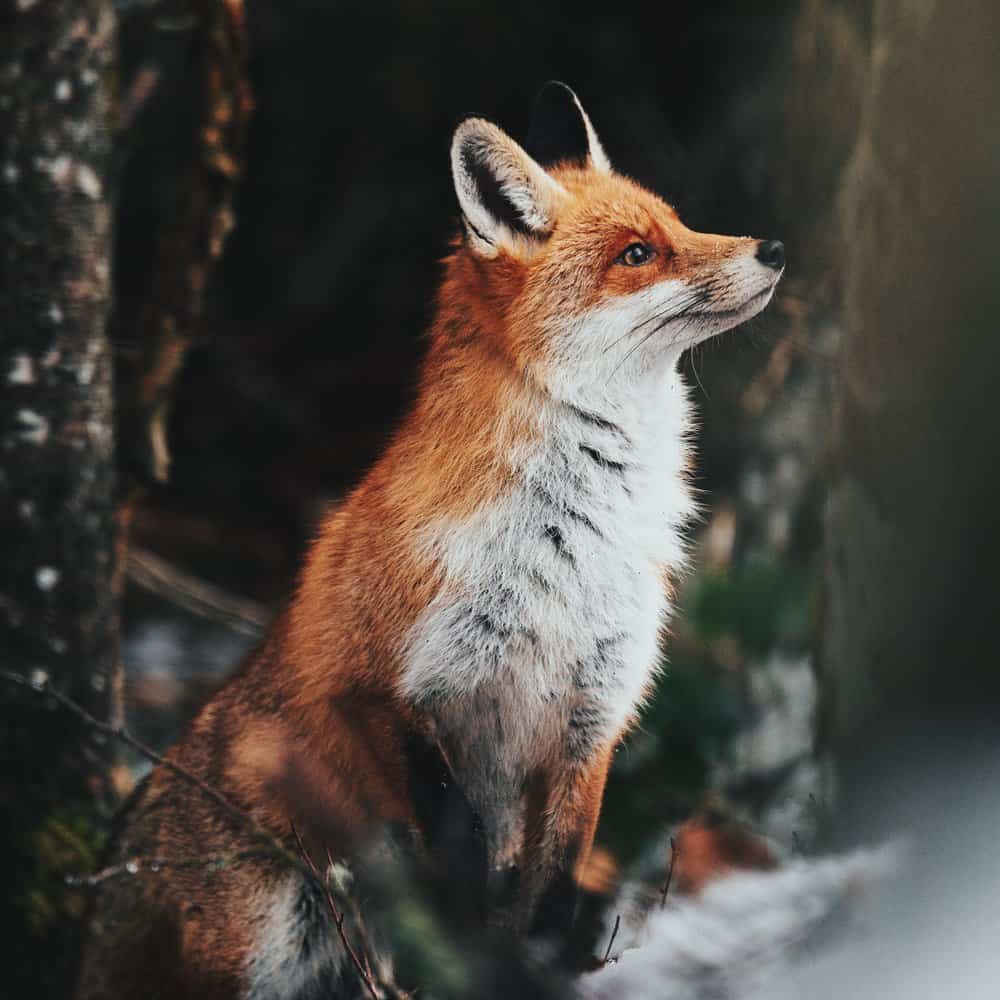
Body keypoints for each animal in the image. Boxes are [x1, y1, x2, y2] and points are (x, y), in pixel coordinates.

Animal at [77, 82, 784, 999]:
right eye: (637, 253)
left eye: (680, 223)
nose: (773, 247)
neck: (571, 546)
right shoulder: (380, 687)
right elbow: (459, 864)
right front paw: (477, 953)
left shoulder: (593, 715)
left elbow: (553, 887)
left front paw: (531, 965)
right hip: (265, 938)